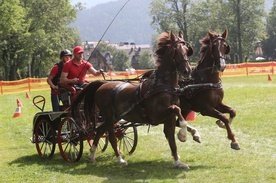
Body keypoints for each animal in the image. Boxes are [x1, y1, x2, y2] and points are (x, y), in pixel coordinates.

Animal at [72, 31, 195, 169]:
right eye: (175, 51)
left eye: (187, 50)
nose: (187, 71)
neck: (163, 85)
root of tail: (102, 84)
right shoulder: (157, 115)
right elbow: (177, 111)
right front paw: (183, 136)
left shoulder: (169, 119)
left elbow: (172, 141)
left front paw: (178, 162)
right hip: (109, 117)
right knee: (111, 137)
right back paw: (120, 159)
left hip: (114, 117)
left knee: (99, 131)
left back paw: (92, 155)